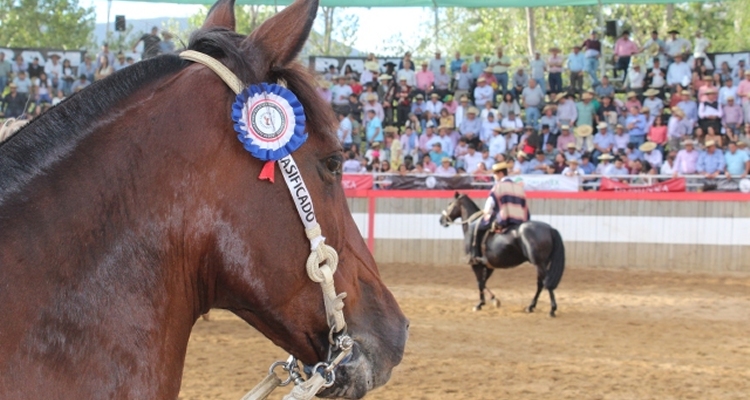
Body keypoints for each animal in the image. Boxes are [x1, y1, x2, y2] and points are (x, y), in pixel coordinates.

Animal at [438, 192, 568, 318]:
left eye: (450, 204)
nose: (441, 220)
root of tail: (550, 229)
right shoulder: (489, 266)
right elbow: (483, 282)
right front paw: (492, 300)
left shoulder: (476, 264)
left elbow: (480, 282)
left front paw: (482, 303)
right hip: (541, 264)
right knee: (540, 284)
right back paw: (530, 306)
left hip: (539, 264)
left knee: (546, 282)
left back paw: (552, 310)